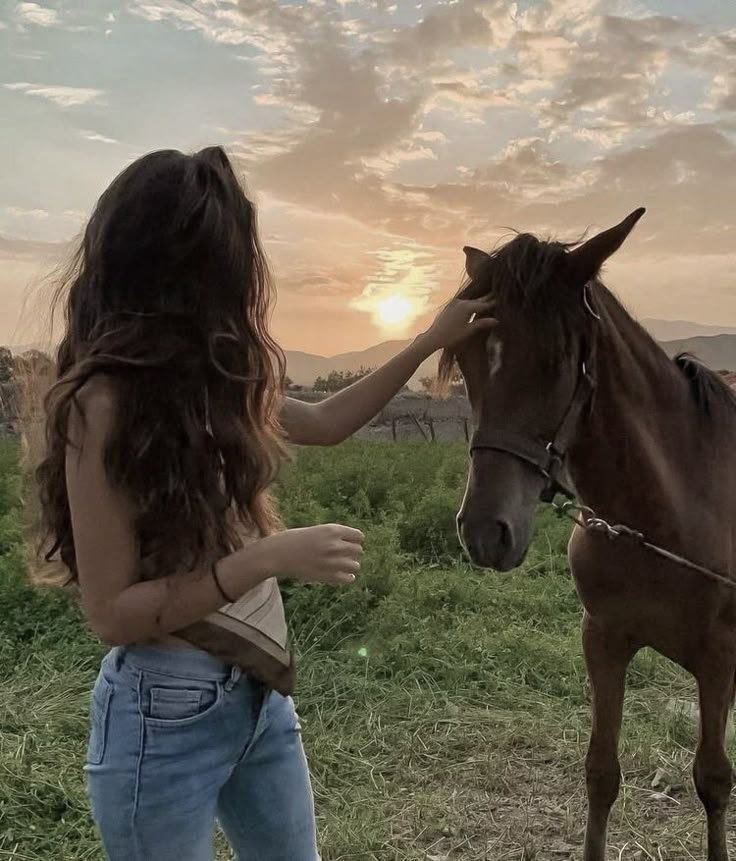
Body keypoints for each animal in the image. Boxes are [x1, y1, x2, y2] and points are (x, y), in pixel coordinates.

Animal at [440, 210, 736, 860]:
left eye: (556, 359)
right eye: (468, 358)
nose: (485, 531)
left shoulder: (719, 657)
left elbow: (713, 779)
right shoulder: (602, 639)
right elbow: (601, 774)